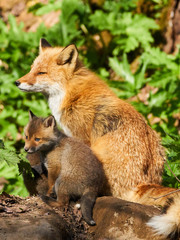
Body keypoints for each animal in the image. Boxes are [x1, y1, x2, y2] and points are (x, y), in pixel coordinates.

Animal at [15, 38, 180, 237]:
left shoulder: (79, 138)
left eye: (42, 73)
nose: (17, 82)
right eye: (32, 69)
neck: (70, 93)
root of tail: (142, 183)